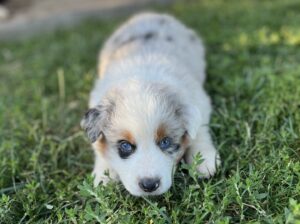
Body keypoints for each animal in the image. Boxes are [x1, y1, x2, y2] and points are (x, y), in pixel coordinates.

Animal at [81, 12, 221, 196]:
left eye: (165, 142)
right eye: (125, 145)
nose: (149, 185)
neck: (142, 75)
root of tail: (149, 14)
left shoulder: (199, 99)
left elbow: (199, 130)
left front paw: (203, 160)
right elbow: (98, 147)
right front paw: (105, 175)